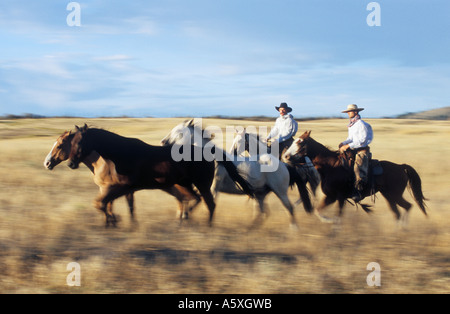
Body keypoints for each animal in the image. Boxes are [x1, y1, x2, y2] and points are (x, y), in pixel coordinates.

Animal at [68, 124, 255, 226]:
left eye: (80, 141)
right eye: (72, 141)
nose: (70, 163)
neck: (121, 154)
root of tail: (208, 152)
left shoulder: (122, 186)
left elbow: (101, 203)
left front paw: (114, 220)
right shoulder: (124, 188)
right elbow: (110, 204)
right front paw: (115, 221)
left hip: (202, 185)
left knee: (210, 204)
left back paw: (205, 226)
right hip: (186, 184)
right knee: (196, 200)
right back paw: (185, 219)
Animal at [161, 119, 312, 228]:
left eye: (178, 131)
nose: (163, 142)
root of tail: (285, 165)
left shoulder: (212, 188)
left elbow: (206, 203)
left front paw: (192, 218)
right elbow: (189, 199)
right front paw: (183, 216)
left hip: (280, 192)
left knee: (289, 208)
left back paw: (293, 230)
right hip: (260, 194)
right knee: (263, 212)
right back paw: (250, 229)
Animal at [284, 131, 428, 224]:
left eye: (300, 142)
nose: (285, 156)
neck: (331, 167)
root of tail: (401, 166)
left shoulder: (340, 197)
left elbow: (338, 217)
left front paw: (332, 225)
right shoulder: (331, 197)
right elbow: (318, 211)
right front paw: (328, 221)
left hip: (395, 195)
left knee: (407, 207)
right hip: (389, 196)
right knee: (398, 212)